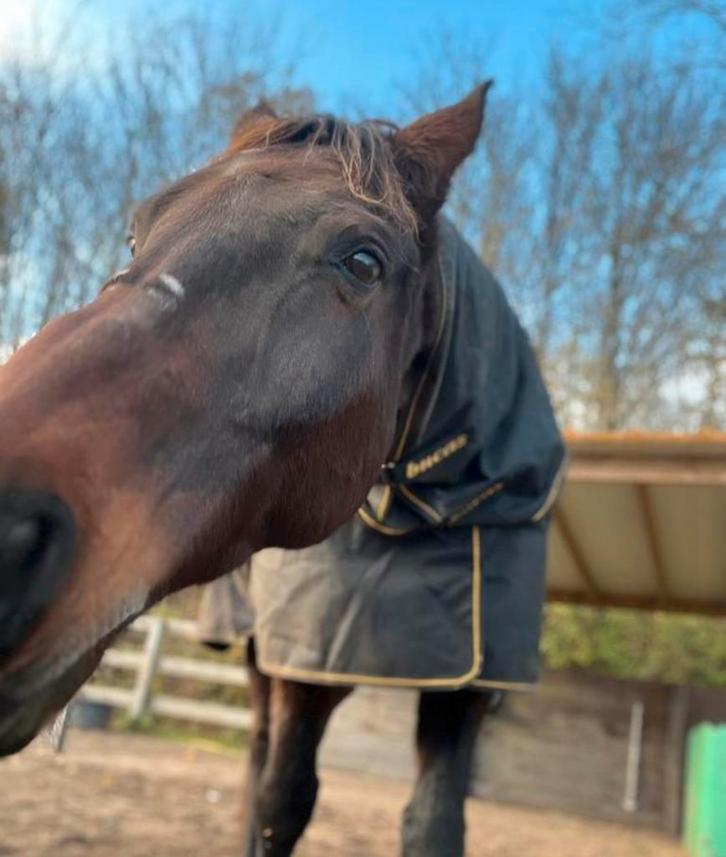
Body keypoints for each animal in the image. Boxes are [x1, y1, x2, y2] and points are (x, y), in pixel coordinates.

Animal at [0, 82, 563, 856]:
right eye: (136, 235)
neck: (414, 512)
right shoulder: (301, 664)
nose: (7, 535)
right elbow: (280, 801)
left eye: (364, 261)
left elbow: (431, 822)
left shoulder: (468, 684)